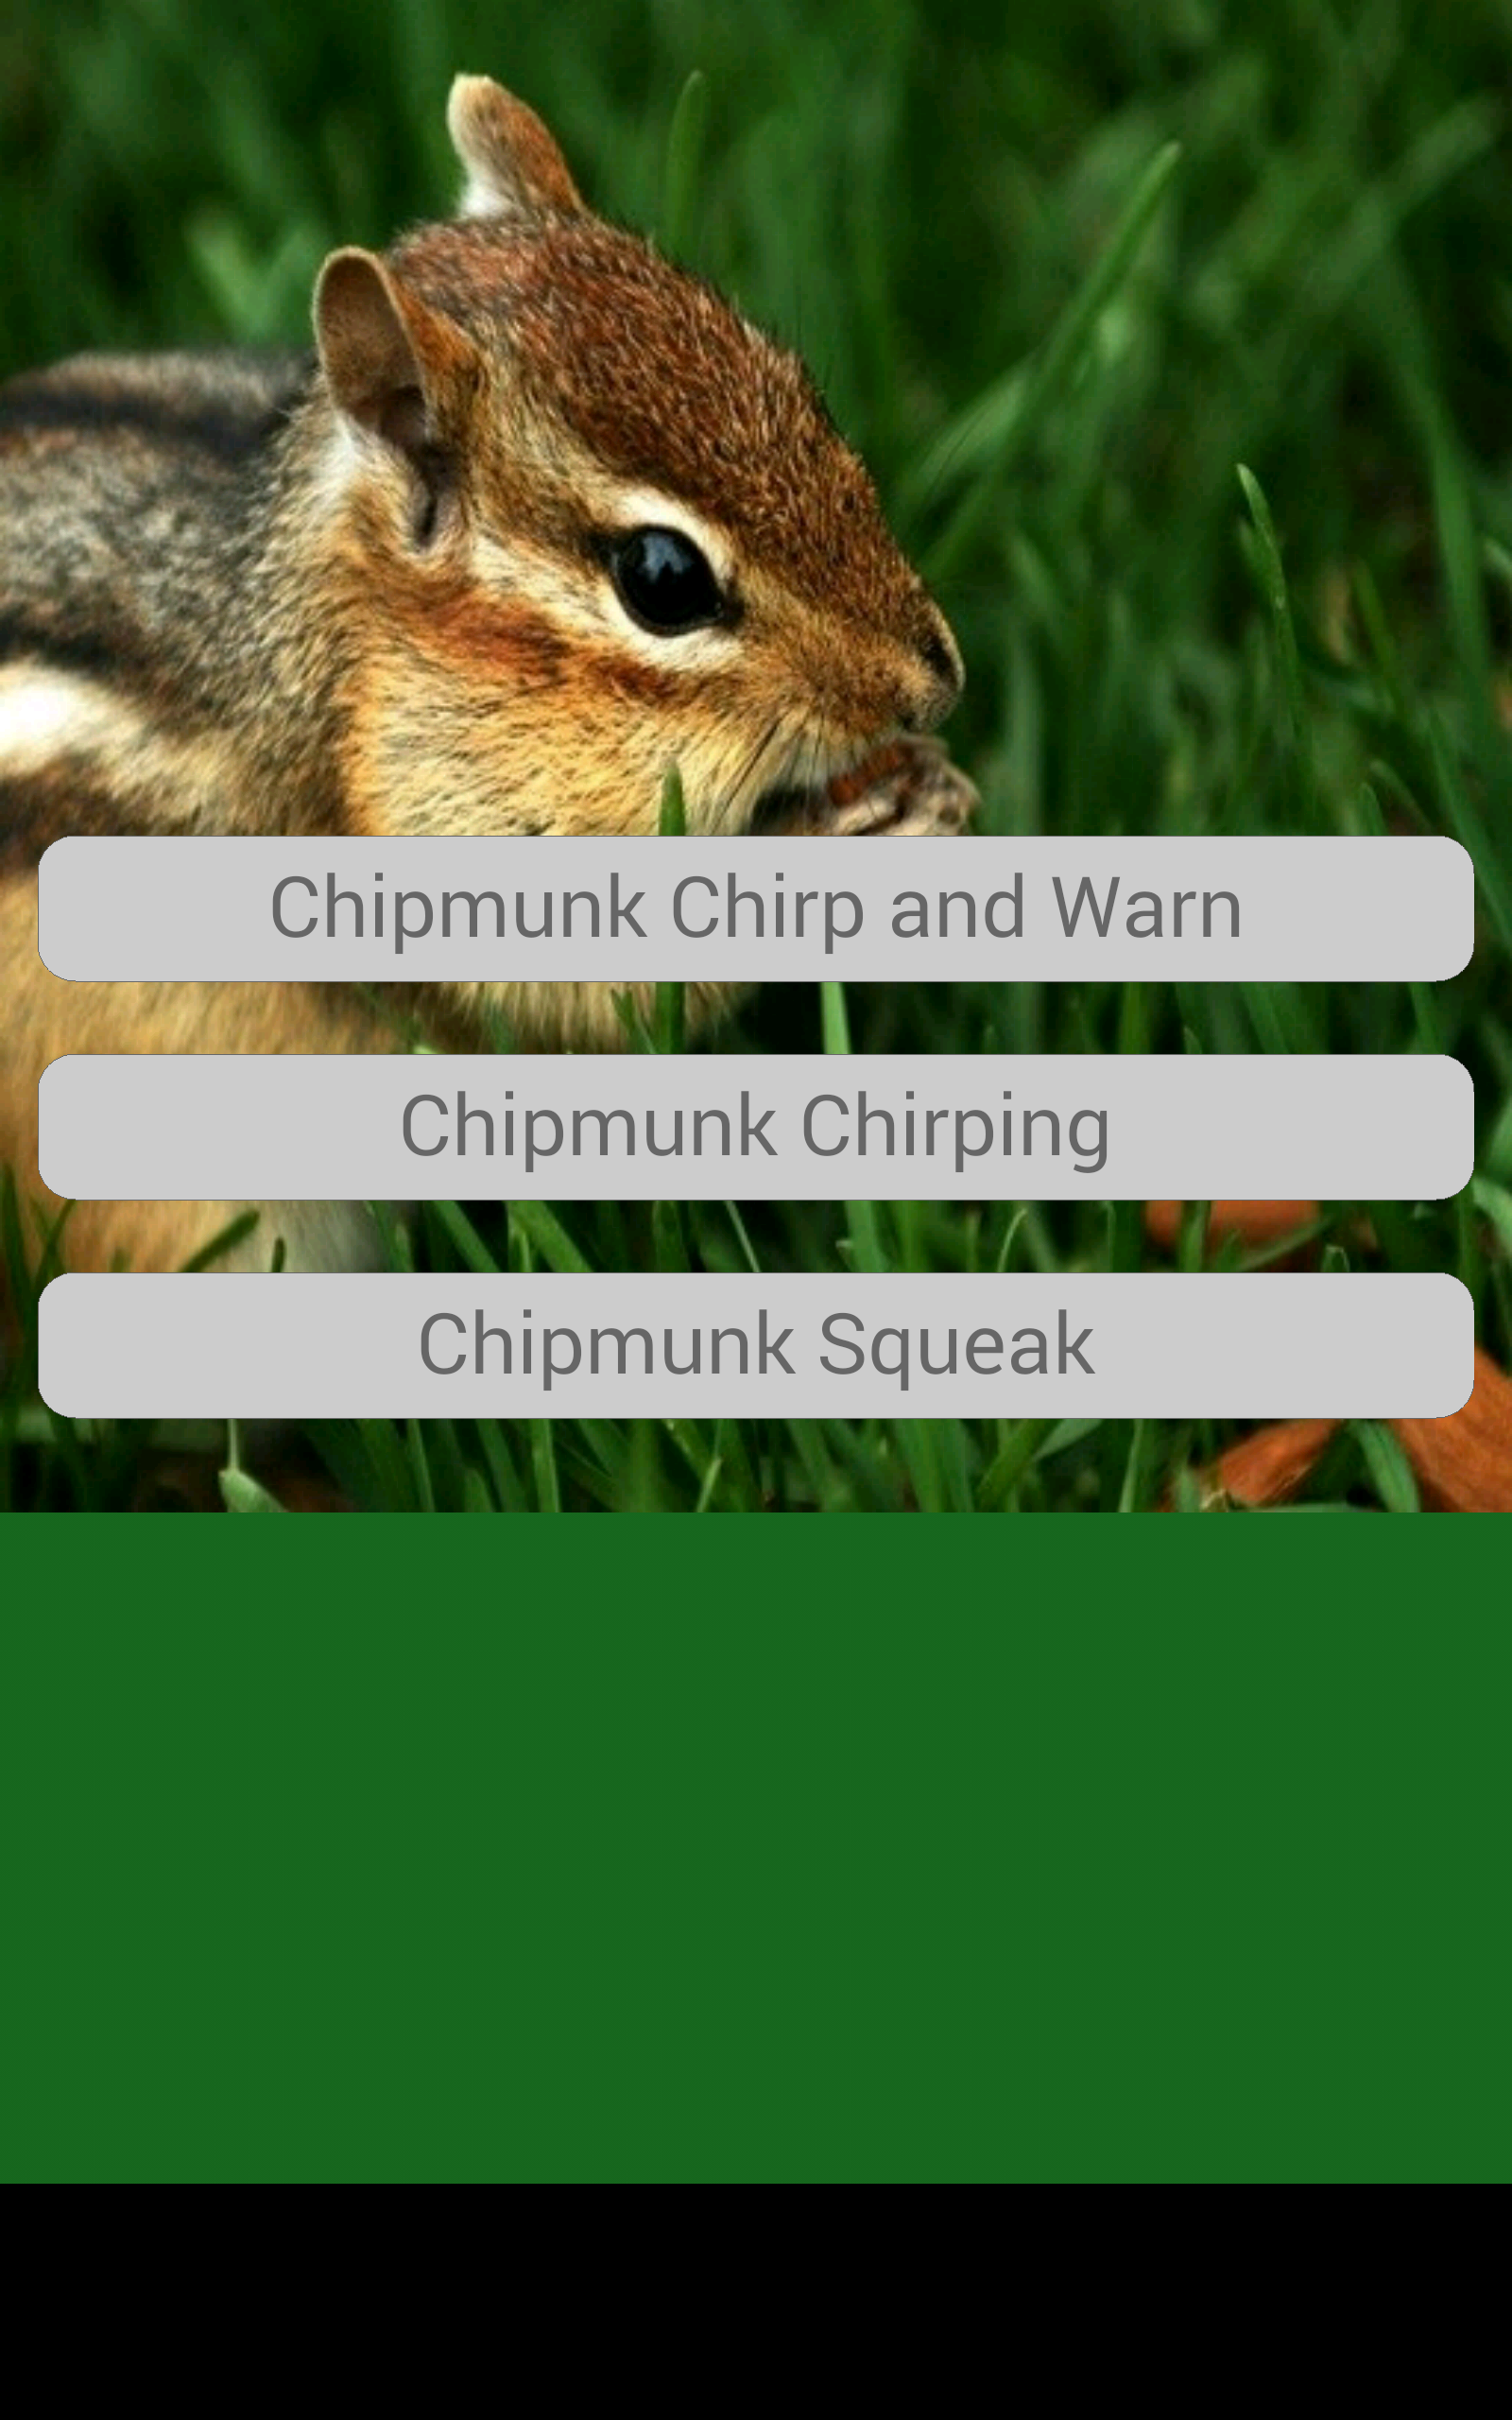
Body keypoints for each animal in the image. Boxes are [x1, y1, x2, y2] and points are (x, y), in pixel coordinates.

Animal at [0, 76, 974, 1280]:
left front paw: (935, 780)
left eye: (799, 390)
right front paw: (851, 832)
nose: (934, 681)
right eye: (663, 579)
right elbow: (593, 993)